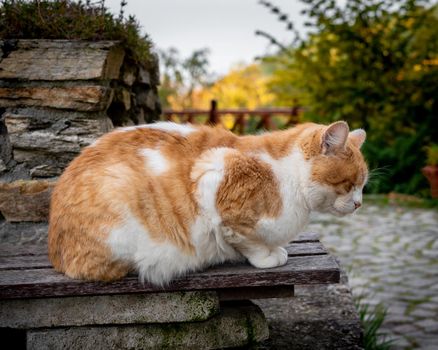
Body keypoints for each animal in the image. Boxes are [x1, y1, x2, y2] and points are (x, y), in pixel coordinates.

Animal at [49, 120, 368, 284]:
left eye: (363, 186)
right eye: (349, 184)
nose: (359, 204)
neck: (286, 174)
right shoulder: (213, 176)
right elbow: (247, 241)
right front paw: (267, 257)